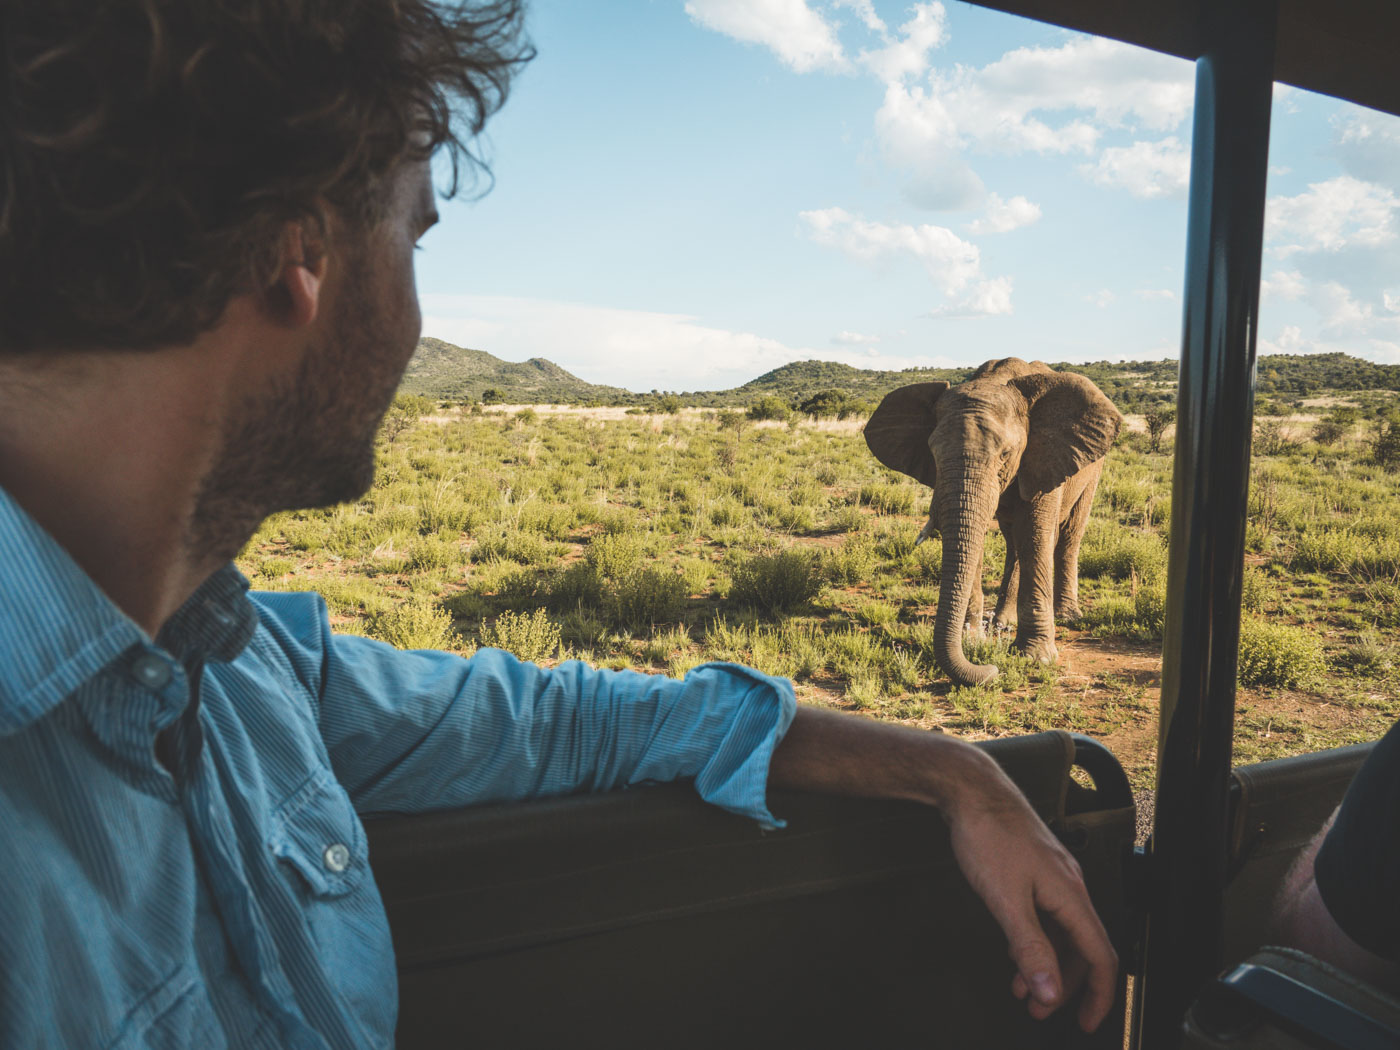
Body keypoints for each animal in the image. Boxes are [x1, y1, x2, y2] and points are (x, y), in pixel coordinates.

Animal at [862, 361, 1125, 691]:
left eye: (1005, 454)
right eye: (932, 453)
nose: (990, 670)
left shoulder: (1044, 457)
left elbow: (1036, 538)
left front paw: (1035, 659)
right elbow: (971, 540)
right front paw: (973, 639)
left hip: (1093, 468)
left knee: (1068, 535)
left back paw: (1066, 616)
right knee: (1013, 542)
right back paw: (1003, 623)